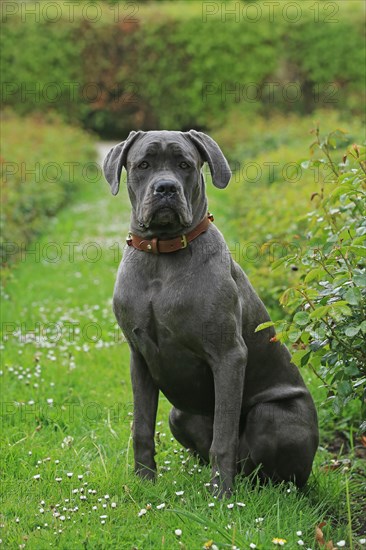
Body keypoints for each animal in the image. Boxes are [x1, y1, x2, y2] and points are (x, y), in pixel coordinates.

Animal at [102, 132, 318, 498]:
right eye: (143, 164)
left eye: (185, 164)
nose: (166, 188)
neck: (162, 257)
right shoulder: (139, 357)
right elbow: (141, 426)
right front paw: (144, 481)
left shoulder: (229, 355)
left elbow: (224, 436)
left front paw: (221, 496)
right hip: (179, 414)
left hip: (273, 414)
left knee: (278, 475)